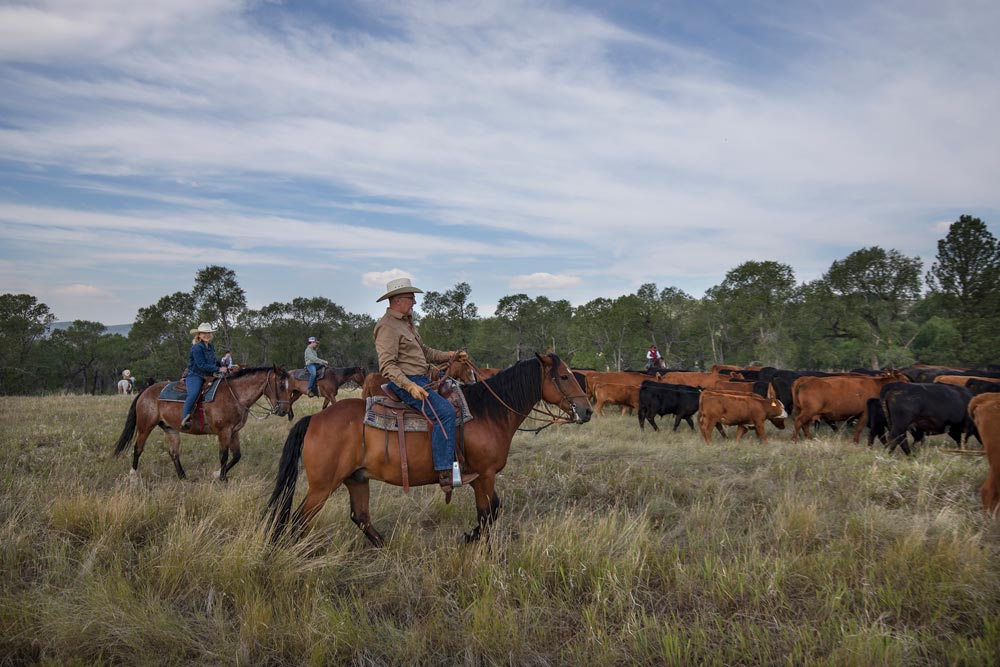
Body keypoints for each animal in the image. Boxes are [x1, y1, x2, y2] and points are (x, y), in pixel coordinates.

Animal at [115, 366, 292, 480]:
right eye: (281, 385)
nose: (284, 410)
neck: (234, 395)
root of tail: (145, 392)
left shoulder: (234, 431)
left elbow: (236, 456)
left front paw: (218, 474)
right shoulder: (224, 431)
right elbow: (223, 455)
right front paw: (222, 478)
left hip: (171, 429)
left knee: (173, 452)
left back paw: (183, 476)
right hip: (145, 427)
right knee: (138, 448)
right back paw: (133, 475)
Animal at [268, 352, 592, 544]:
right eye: (564, 376)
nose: (587, 410)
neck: (488, 412)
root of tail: (314, 419)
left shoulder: (481, 478)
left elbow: (492, 512)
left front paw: (469, 537)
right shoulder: (484, 475)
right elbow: (488, 514)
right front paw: (473, 540)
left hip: (356, 479)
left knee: (360, 517)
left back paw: (387, 547)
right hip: (322, 486)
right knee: (299, 522)